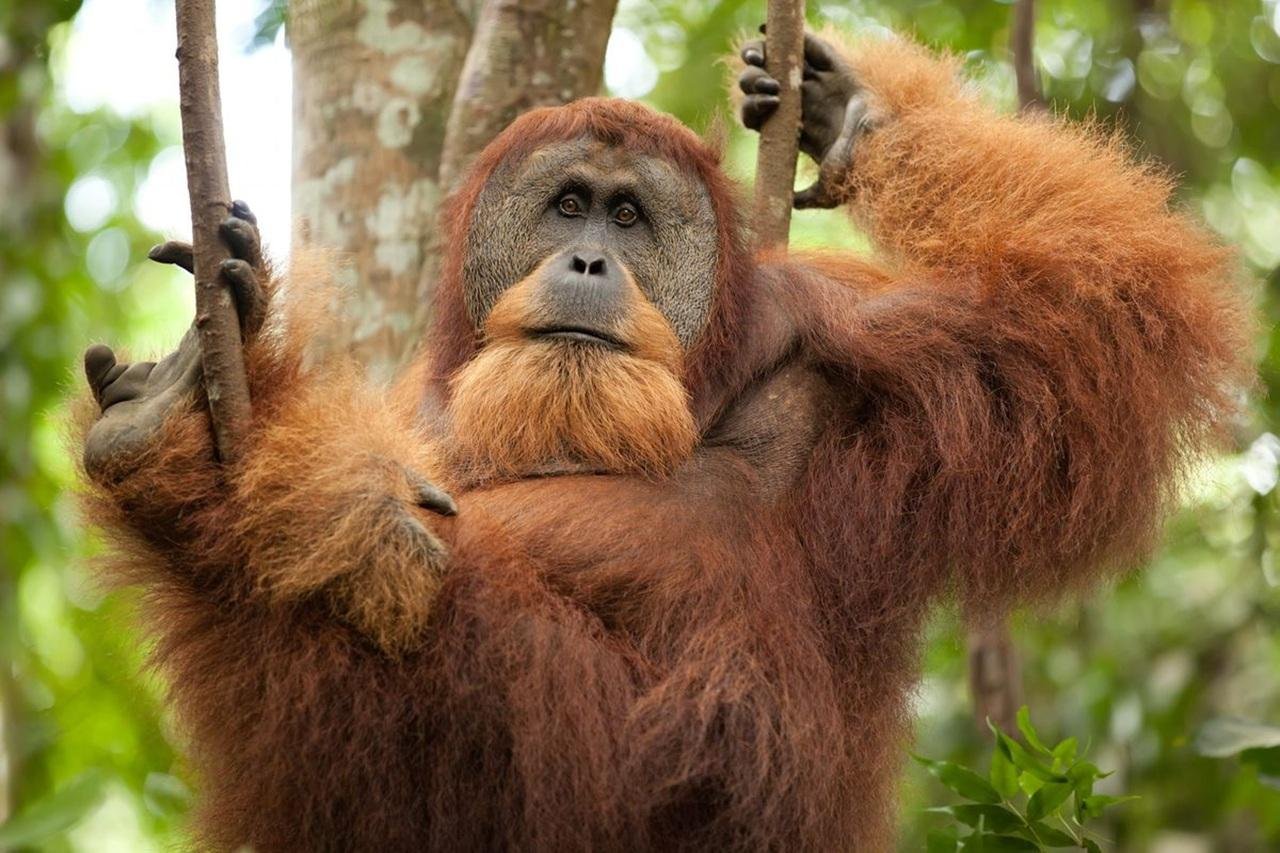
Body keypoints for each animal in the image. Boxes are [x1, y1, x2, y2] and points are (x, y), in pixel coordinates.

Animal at [77, 30, 1250, 851]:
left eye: (631, 219)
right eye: (565, 207)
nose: (591, 261)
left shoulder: (841, 322)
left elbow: (1098, 305)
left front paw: (855, 111)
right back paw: (172, 440)